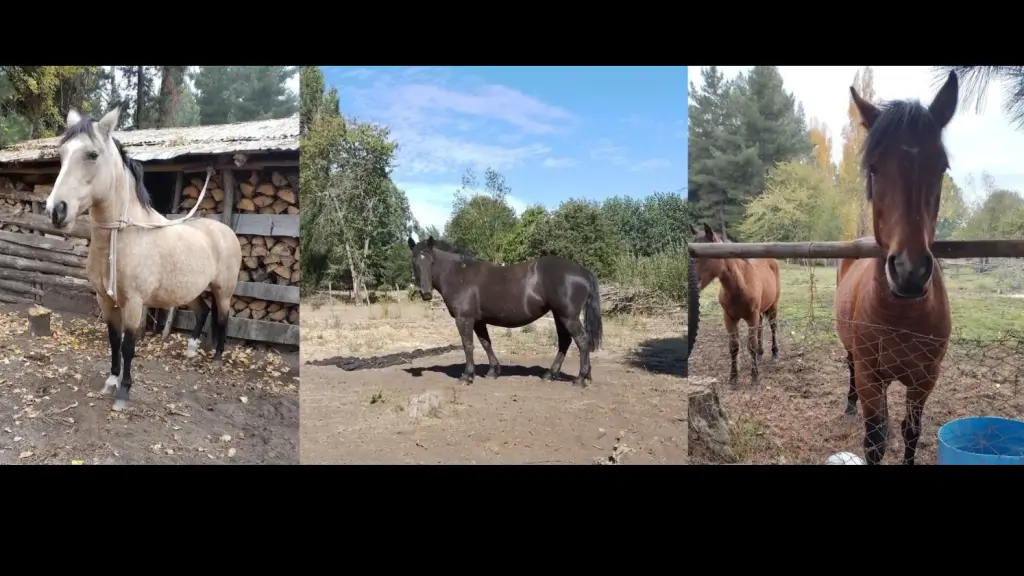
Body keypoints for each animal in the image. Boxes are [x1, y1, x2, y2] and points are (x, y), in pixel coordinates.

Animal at [44, 106, 242, 412]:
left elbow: (128, 346)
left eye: (92, 154)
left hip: (223, 290)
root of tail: (226, 232)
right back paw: (192, 351)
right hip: (190, 290)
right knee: (203, 312)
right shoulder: (106, 299)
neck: (124, 234)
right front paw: (111, 382)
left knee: (222, 317)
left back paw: (218, 357)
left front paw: (123, 393)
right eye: (62, 153)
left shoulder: (134, 303)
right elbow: (113, 341)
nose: (56, 210)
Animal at [407, 236, 603, 387]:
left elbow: (468, 345)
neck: (459, 275)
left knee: (582, 341)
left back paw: (580, 379)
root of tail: (583, 271)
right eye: (414, 261)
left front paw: (467, 376)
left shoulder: (464, 319)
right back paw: (552, 375)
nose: (426, 294)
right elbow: (486, 343)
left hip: (568, 316)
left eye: (431, 261)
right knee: (565, 342)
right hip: (559, 315)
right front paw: (493, 371)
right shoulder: (479, 321)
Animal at [688, 223, 780, 388]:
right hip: (760, 312)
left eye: (705, 254)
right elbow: (734, 346)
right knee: (760, 327)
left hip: (773, 306)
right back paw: (761, 353)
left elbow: (751, 345)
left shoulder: (751, 316)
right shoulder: (729, 318)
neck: (740, 287)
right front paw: (733, 378)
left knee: (773, 326)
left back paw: (774, 354)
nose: (692, 286)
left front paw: (755, 379)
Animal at [835, 71, 958, 465]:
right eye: (874, 167)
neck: (901, 316)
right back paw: (849, 408)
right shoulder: (870, 375)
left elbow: (910, 431)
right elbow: (873, 439)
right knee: (850, 373)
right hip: (855, 358)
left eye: (941, 166)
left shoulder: (924, 379)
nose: (909, 272)